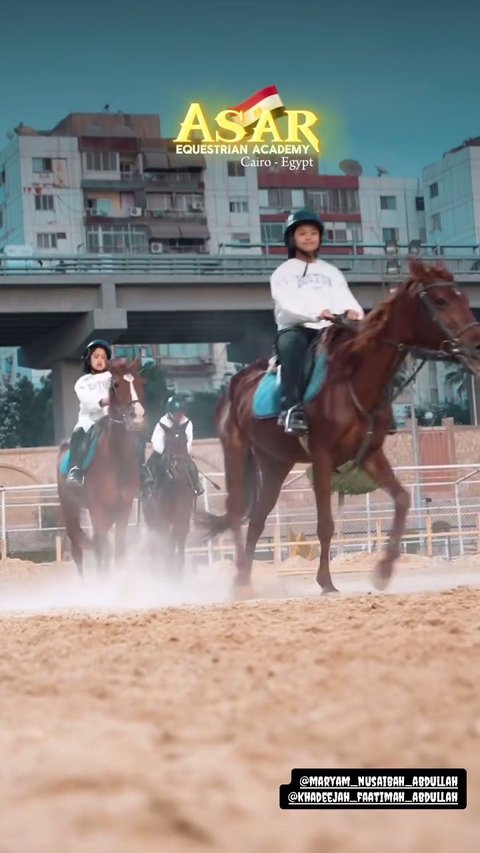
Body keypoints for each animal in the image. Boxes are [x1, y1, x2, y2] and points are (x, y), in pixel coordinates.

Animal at [57, 356, 145, 576]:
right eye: (116, 384)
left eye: (140, 383)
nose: (138, 416)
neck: (116, 456)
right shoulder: (99, 510)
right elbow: (101, 551)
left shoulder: (123, 509)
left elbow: (118, 552)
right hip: (70, 509)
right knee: (79, 552)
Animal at [141, 422, 195, 576]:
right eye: (168, 441)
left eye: (185, 440)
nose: (179, 466)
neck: (174, 484)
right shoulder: (162, 516)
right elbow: (166, 539)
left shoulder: (183, 514)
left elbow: (179, 536)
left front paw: (178, 571)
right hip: (151, 518)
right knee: (156, 543)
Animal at [197, 260, 480, 592]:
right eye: (440, 301)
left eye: (464, 298)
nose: (476, 344)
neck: (352, 379)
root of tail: (236, 383)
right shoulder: (322, 457)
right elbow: (326, 524)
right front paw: (326, 583)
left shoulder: (370, 453)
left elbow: (402, 499)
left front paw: (383, 570)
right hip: (236, 451)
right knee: (237, 512)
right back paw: (240, 583)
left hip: (275, 464)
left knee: (256, 520)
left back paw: (244, 579)